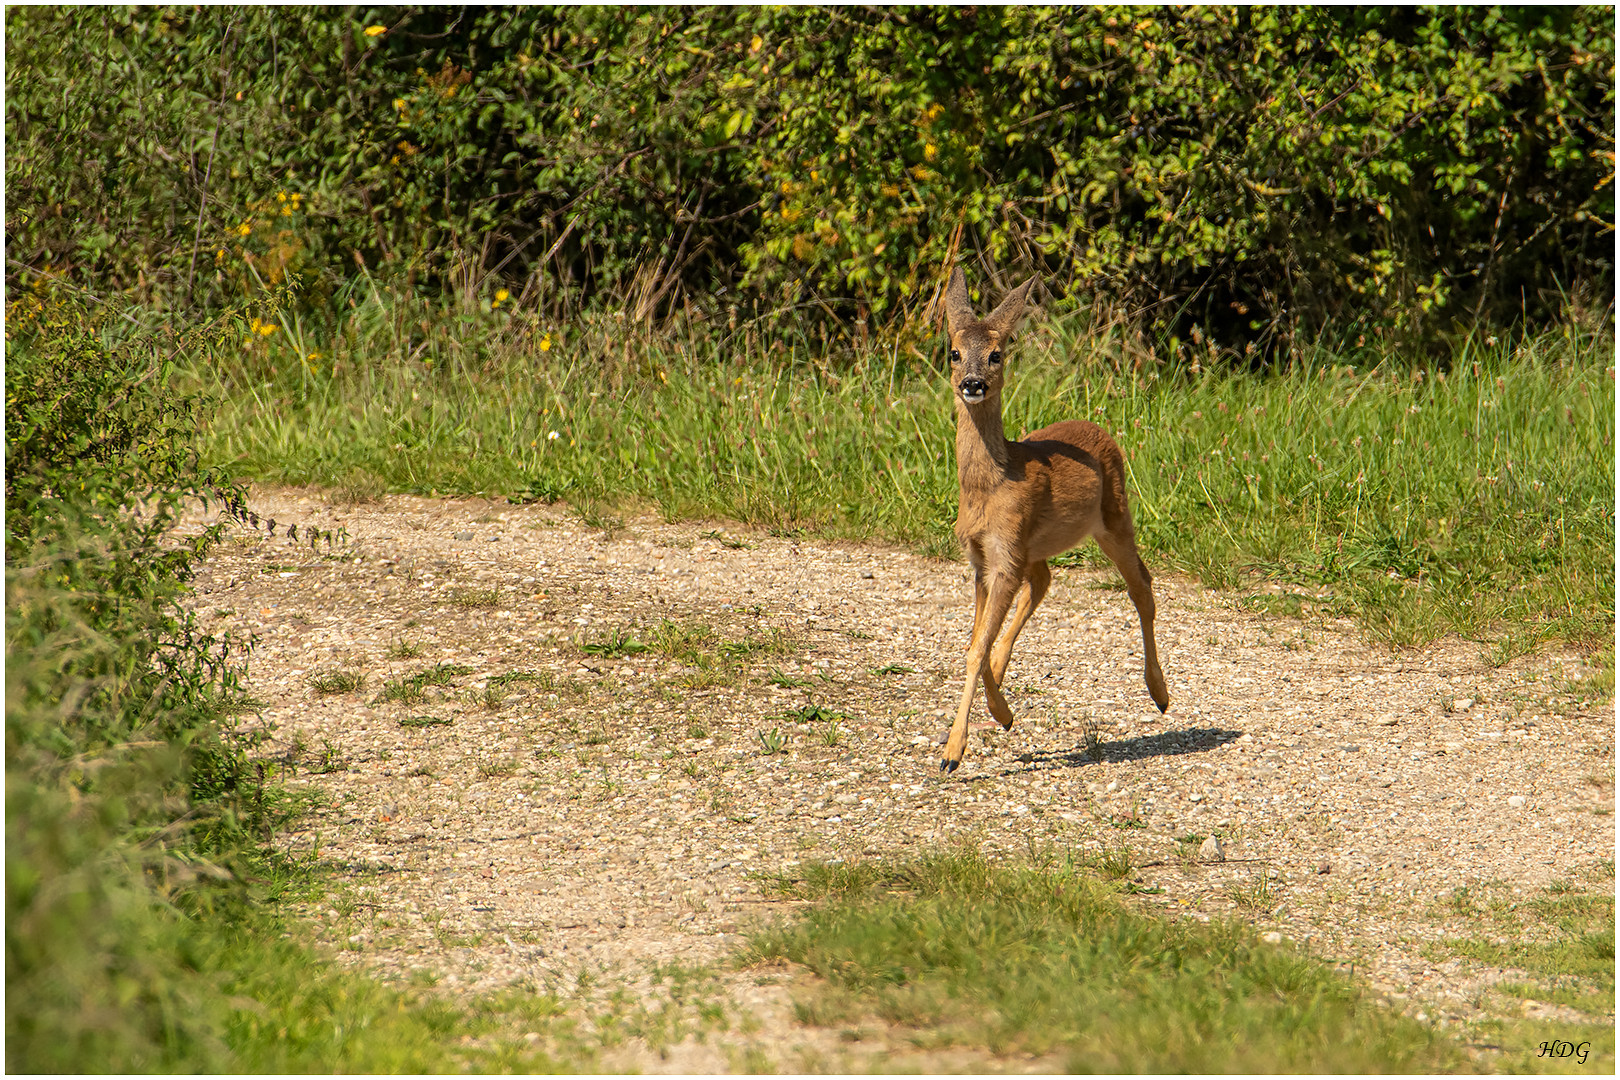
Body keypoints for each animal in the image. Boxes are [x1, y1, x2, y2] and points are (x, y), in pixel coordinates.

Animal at [939, 270, 1166, 777]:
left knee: (1142, 586)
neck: (990, 486)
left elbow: (976, 647)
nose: (973, 383)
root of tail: (1102, 429)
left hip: (1114, 518)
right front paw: (1000, 714)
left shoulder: (1005, 553)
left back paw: (1160, 694)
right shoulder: (983, 559)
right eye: (954, 352)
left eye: (997, 353)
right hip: (1038, 546)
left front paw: (952, 753)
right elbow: (975, 643)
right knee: (1043, 582)